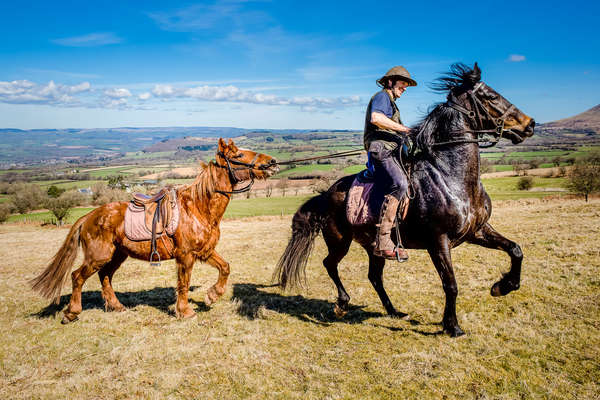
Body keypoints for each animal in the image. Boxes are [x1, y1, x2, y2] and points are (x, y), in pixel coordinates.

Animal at [274, 63, 536, 338]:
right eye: (491, 97)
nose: (530, 125)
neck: (450, 176)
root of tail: (325, 194)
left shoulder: (477, 230)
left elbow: (515, 250)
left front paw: (502, 286)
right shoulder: (438, 241)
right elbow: (450, 284)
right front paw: (452, 326)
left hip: (373, 246)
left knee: (374, 276)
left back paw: (394, 311)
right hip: (340, 241)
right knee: (330, 264)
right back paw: (343, 303)